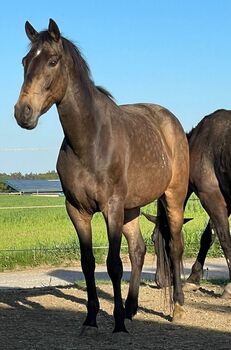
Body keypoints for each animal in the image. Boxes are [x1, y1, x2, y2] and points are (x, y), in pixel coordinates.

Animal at [13, 19, 189, 334]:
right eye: (25, 61)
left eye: (52, 61)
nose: (23, 113)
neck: (90, 141)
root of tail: (170, 120)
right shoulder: (77, 210)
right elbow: (88, 263)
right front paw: (92, 318)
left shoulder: (111, 208)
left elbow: (113, 264)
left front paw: (116, 323)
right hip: (132, 208)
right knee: (139, 250)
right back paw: (131, 308)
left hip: (172, 198)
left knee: (174, 247)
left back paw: (177, 308)